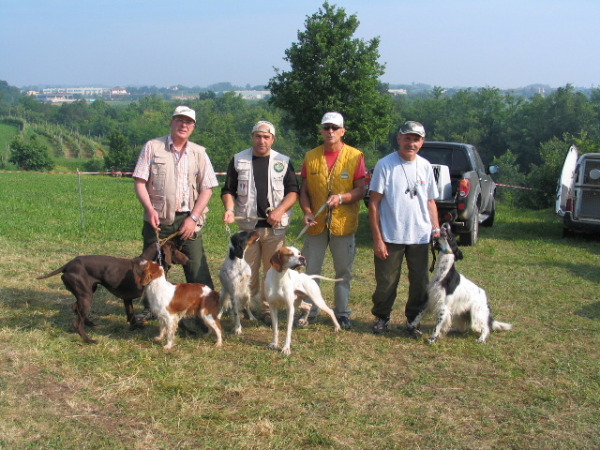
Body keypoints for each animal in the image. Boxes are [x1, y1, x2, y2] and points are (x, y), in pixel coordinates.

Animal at [37, 241, 188, 342]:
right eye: (176, 250)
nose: (187, 259)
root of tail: (67, 265)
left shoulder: (127, 299)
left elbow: (131, 315)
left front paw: (135, 326)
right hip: (86, 296)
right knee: (76, 322)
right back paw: (89, 340)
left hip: (86, 292)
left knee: (75, 308)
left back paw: (89, 323)